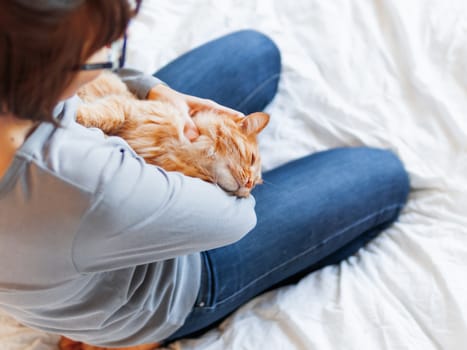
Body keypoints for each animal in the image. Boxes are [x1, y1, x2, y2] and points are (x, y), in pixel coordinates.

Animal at [75, 71, 268, 197]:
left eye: (255, 185)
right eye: (252, 159)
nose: (249, 184)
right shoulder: (125, 106)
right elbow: (108, 114)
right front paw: (78, 113)